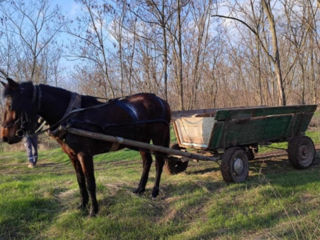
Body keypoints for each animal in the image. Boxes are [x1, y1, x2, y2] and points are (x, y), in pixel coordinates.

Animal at [1, 78, 171, 217]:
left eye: (10, 105)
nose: (4, 137)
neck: (71, 117)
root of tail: (161, 100)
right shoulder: (72, 156)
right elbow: (80, 181)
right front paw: (82, 205)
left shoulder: (85, 154)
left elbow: (90, 183)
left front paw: (93, 210)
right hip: (140, 140)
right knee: (147, 161)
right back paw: (140, 189)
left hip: (158, 137)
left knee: (159, 162)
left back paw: (154, 191)